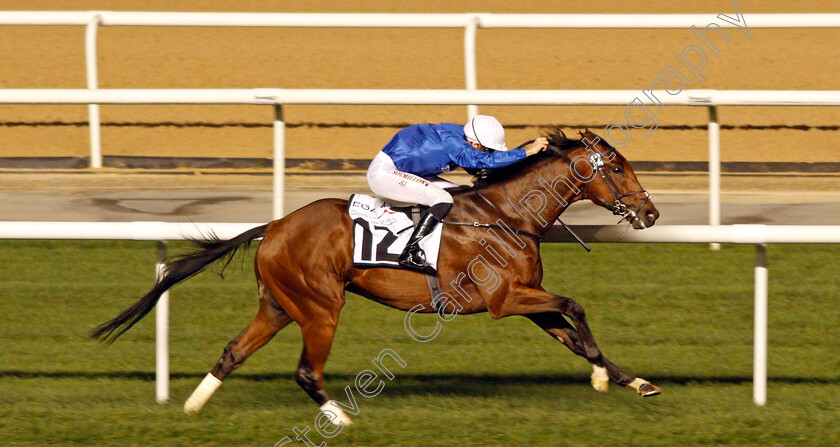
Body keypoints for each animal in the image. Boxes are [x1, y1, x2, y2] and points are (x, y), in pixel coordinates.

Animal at [93, 128, 664, 426]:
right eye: (616, 167)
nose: (650, 212)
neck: (505, 215)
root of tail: (274, 226)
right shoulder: (506, 299)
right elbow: (574, 307)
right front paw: (602, 377)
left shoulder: (524, 298)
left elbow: (574, 335)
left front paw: (632, 380)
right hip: (321, 306)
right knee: (307, 371)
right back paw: (341, 421)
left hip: (278, 304)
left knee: (233, 351)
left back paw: (193, 405)